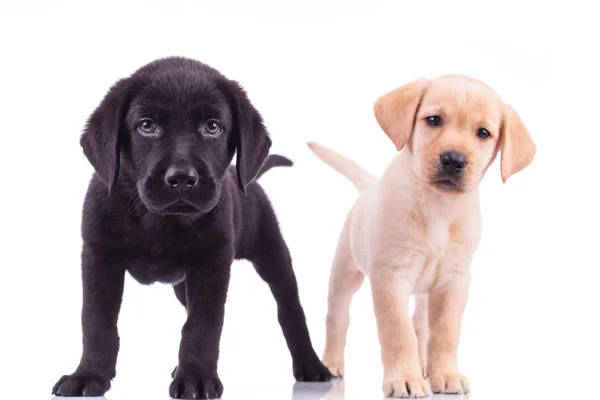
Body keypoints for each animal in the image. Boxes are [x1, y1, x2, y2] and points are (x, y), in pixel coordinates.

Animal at [51, 57, 330, 400]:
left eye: (212, 126)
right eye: (147, 126)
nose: (182, 178)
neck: (158, 220)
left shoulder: (211, 264)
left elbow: (203, 325)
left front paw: (196, 378)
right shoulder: (99, 257)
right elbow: (96, 321)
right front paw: (89, 375)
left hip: (272, 255)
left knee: (290, 309)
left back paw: (311, 365)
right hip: (182, 285)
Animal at [310, 74, 536, 396]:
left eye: (483, 133)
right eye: (433, 120)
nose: (454, 159)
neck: (438, 205)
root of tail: (368, 187)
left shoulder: (455, 279)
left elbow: (445, 331)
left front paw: (445, 374)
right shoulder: (390, 276)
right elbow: (398, 331)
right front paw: (404, 378)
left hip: (423, 295)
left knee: (421, 326)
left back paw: (424, 366)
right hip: (344, 273)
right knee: (337, 318)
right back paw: (331, 363)